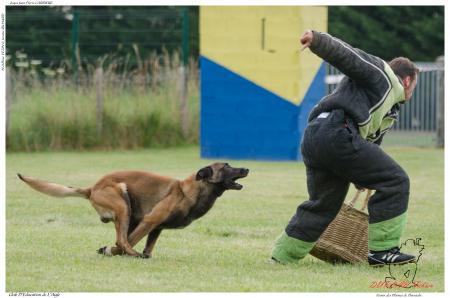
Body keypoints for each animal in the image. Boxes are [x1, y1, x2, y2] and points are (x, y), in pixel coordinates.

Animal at [17, 163, 248, 258]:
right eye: (226, 167)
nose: (246, 168)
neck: (188, 190)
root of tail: (92, 188)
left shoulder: (156, 228)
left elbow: (148, 248)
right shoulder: (149, 221)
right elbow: (129, 242)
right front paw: (110, 251)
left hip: (126, 214)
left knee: (122, 239)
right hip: (123, 204)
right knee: (122, 241)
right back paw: (130, 254)